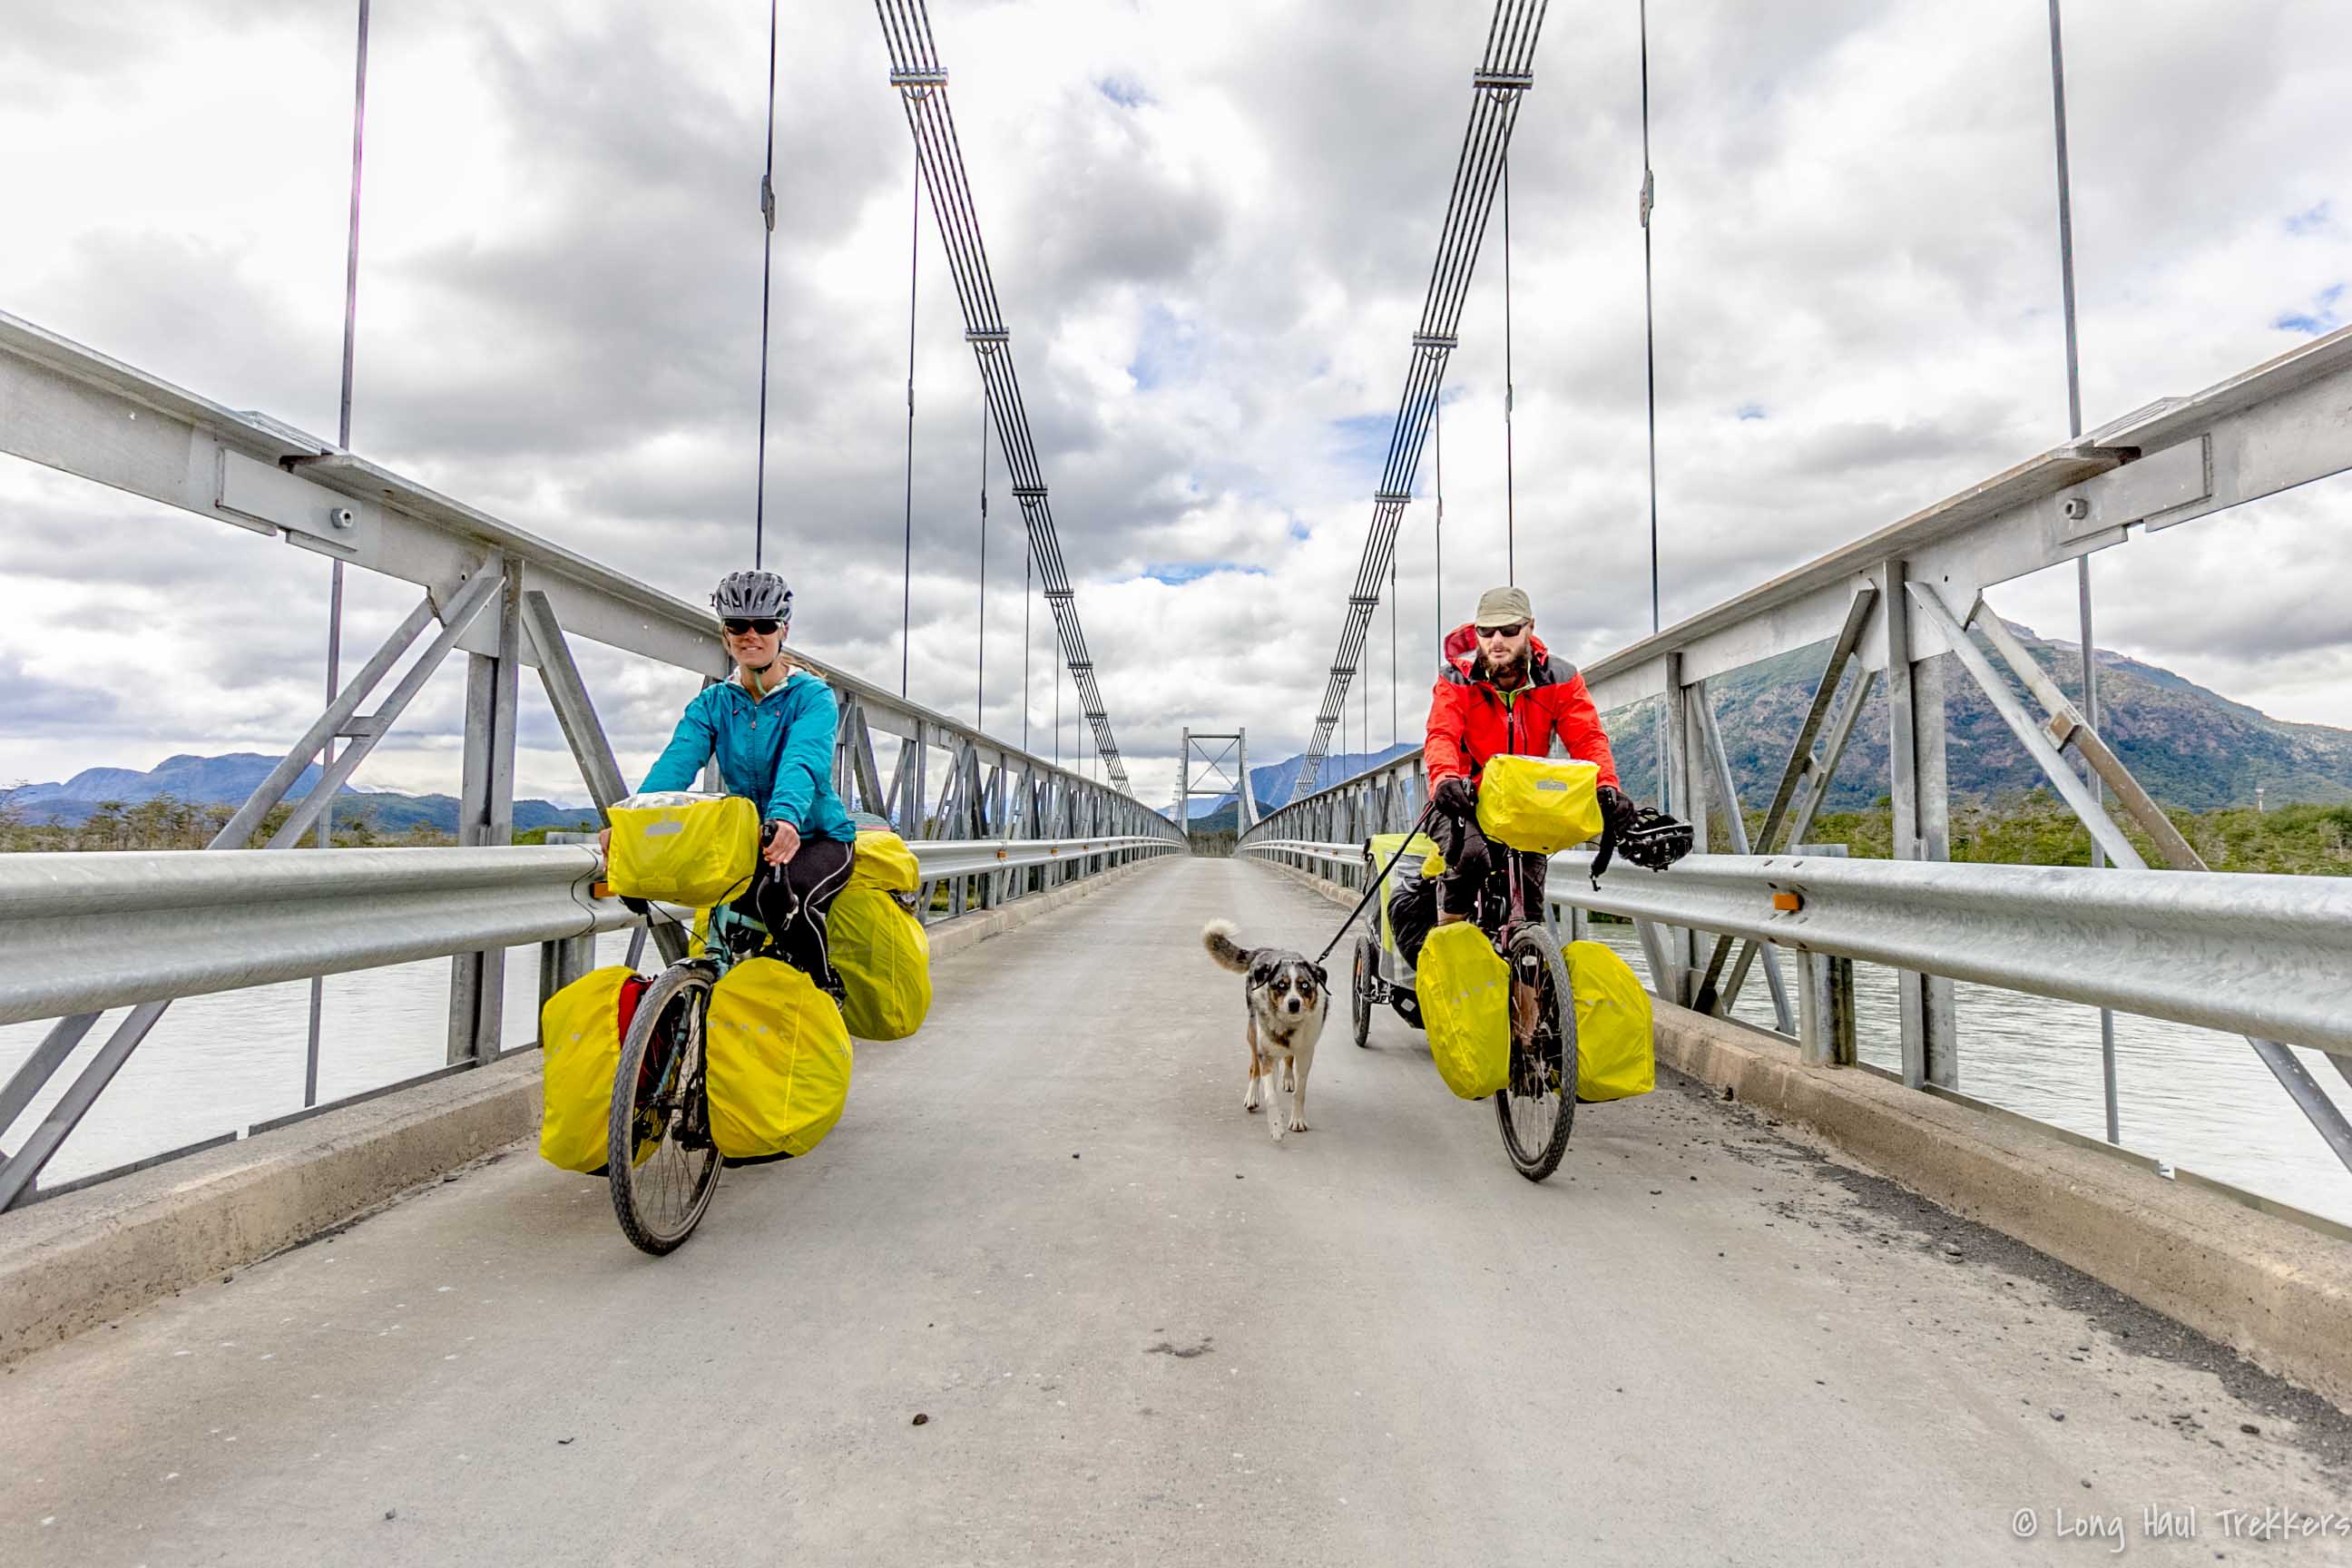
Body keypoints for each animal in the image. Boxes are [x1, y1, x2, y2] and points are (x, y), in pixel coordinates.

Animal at [1194, 921, 1326, 1142]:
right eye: (1281, 985)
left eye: (1304, 985)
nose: (1294, 1003)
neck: (1287, 1026)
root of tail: (1265, 951)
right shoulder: (1266, 1052)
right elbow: (1270, 1094)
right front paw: (1276, 1127)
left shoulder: (1306, 1052)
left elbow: (1300, 1091)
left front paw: (1297, 1120)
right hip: (1253, 1033)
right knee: (1254, 1067)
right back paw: (1252, 1096)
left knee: (1287, 1059)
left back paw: (1287, 1078)